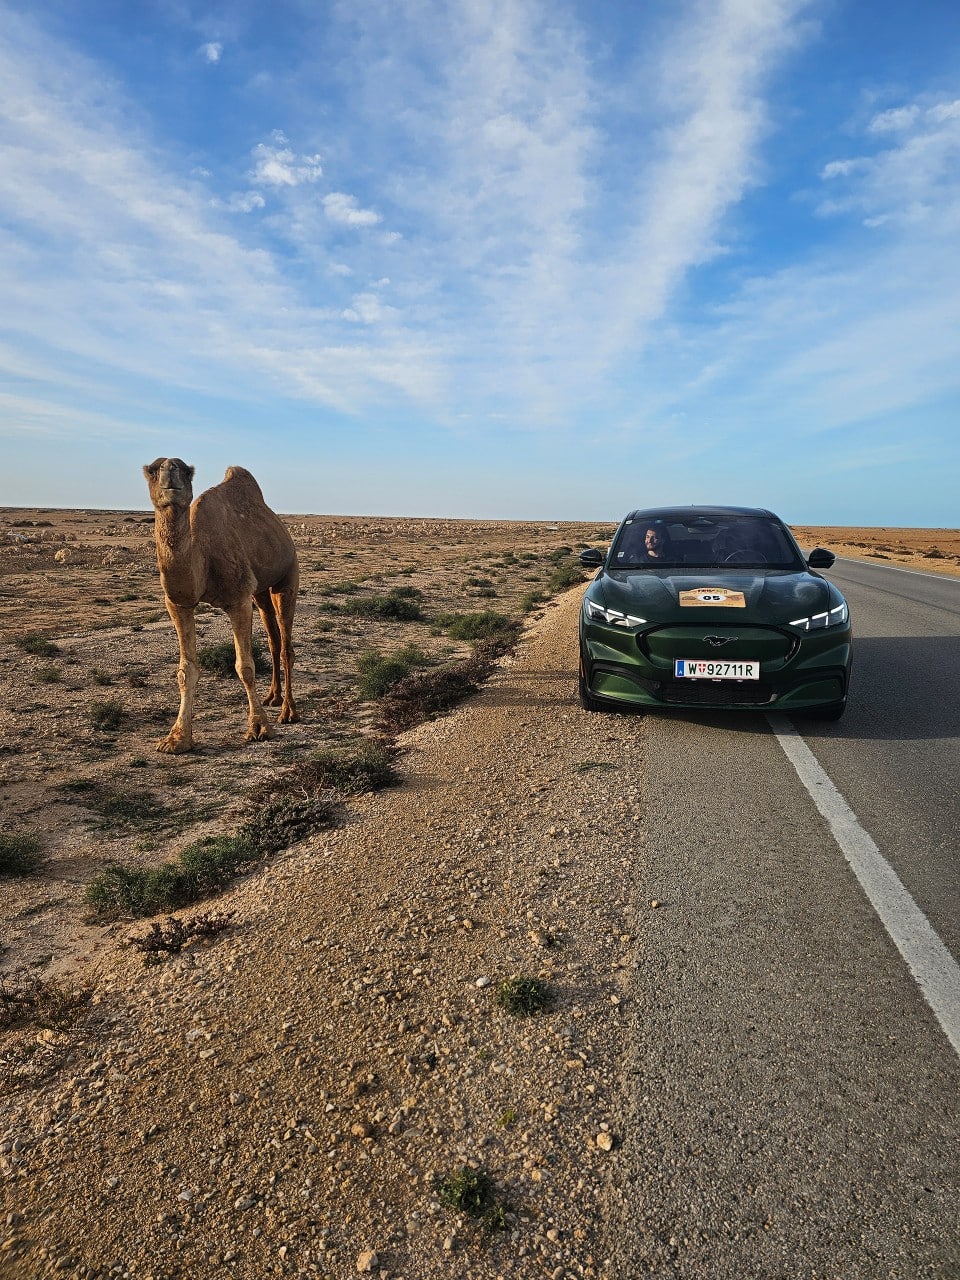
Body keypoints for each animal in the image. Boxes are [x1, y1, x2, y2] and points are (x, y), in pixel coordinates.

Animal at [143, 458, 299, 753]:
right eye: (153, 470)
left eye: (185, 470)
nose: (170, 470)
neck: (202, 557)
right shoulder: (179, 603)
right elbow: (186, 670)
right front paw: (176, 738)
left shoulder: (238, 599)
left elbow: (245, 667)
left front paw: (259, 727)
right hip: (260, 591)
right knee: (273, 640)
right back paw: (272, 697)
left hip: (288, 575)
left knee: (286, 646)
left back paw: (289, 712)